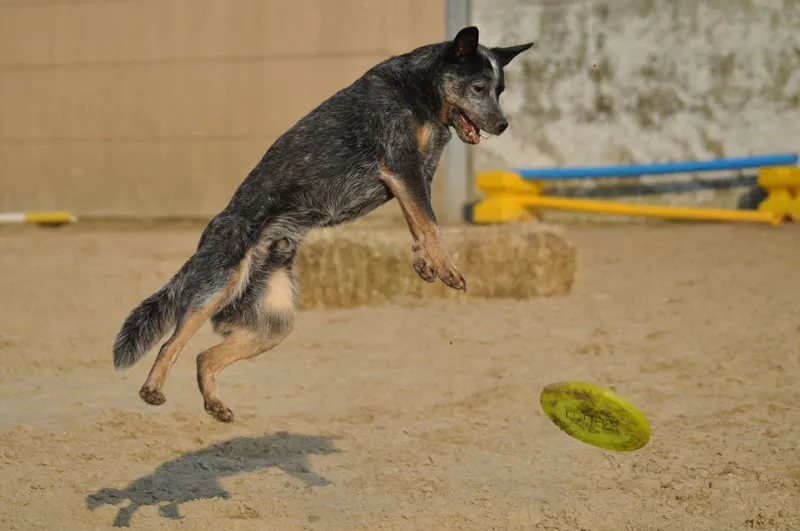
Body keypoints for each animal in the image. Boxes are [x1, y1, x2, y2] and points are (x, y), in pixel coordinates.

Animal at [112, 26, 536, 424]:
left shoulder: (414, 176)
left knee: (204, 356)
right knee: (172, 342)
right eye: (478, 87)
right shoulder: (402, 167)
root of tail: (208, 237)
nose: (503, 125)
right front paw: (448, 269)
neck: (418, 92)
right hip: (218, 286)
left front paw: (424, 263)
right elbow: (430, 224)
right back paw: (152, 389)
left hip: (275, 322)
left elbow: (418, 222)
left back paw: (215, 405)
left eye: (500, 89)